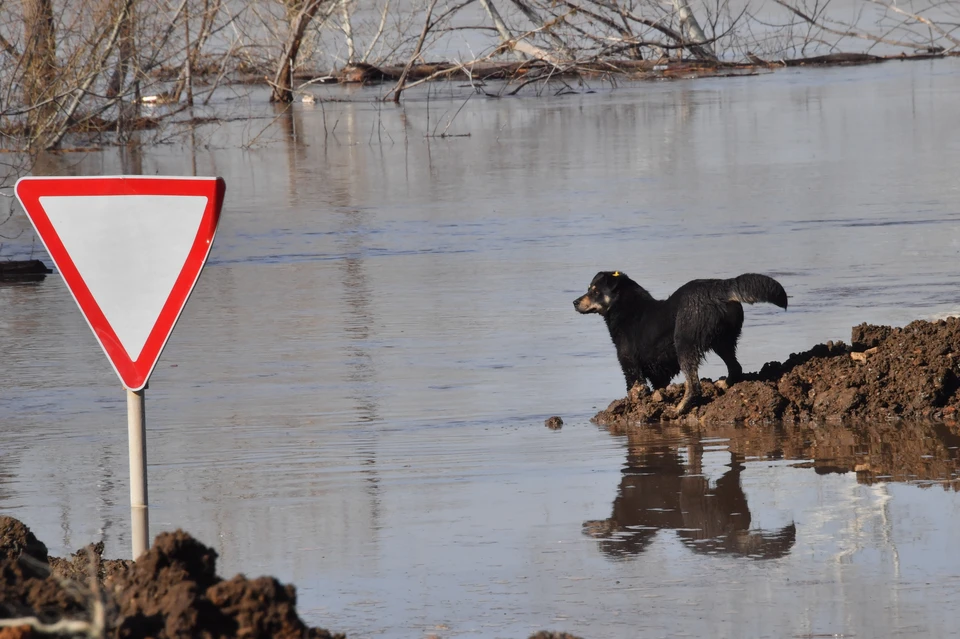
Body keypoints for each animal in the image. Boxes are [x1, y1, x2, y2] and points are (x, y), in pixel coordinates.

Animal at [568, 272, 788, 416]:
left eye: (595, 291)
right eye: (589, 290)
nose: (574, 302)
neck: (624, 307)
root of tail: (718, 288)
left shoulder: (630, 365)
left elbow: (634, 388)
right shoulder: (658, 374)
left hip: (684, 342)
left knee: (694, 385)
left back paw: (678, 409)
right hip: (723, 340)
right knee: (735, 367)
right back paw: (724, 384)